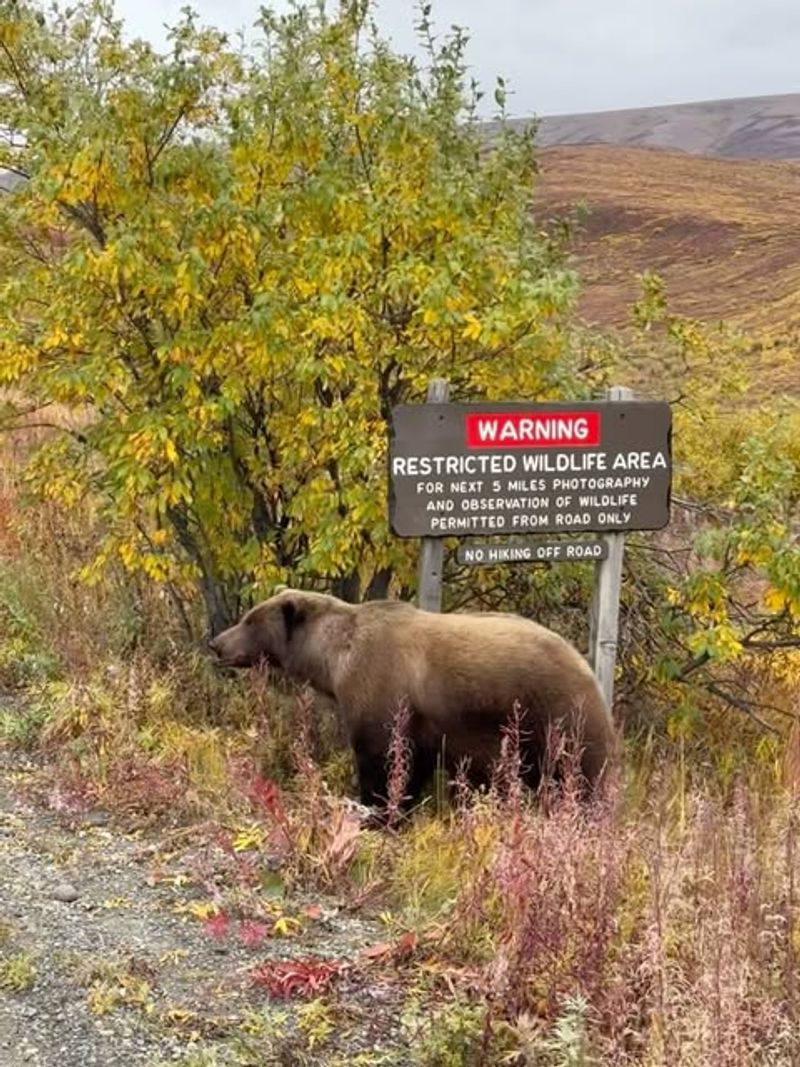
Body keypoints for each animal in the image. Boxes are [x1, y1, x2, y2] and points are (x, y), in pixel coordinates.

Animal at [210, 593, 618, 815]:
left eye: (249, 620)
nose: (216, 643)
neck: (334, 660)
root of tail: (587, 668)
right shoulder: (424, 727)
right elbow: (412, 763)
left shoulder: (379, 689)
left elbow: (384, 758)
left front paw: (376, 809)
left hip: (555, 716)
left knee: (582, 775)